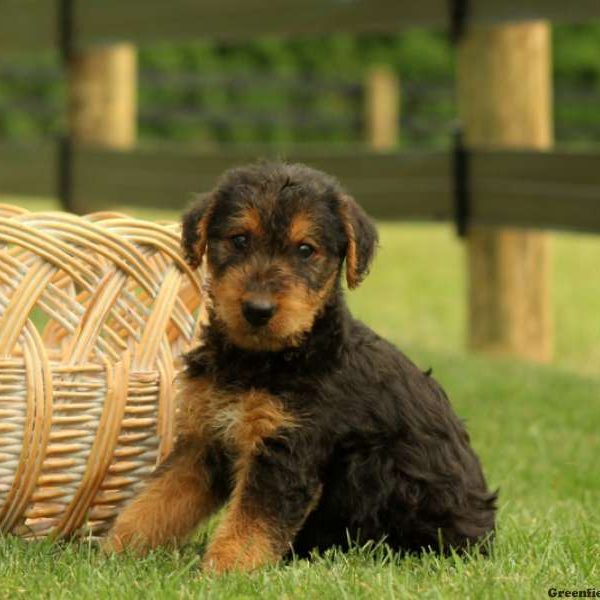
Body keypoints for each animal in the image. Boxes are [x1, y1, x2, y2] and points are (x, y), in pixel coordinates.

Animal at [106, 161, 496, 572]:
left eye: (306, 250)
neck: (259, 361)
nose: (258, 310)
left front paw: (225, 570)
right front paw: (112, 552)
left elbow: (251, 523)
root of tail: (487, 533)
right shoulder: (205, 440)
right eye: (239, 239)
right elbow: (156, 500)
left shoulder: (286, 450)